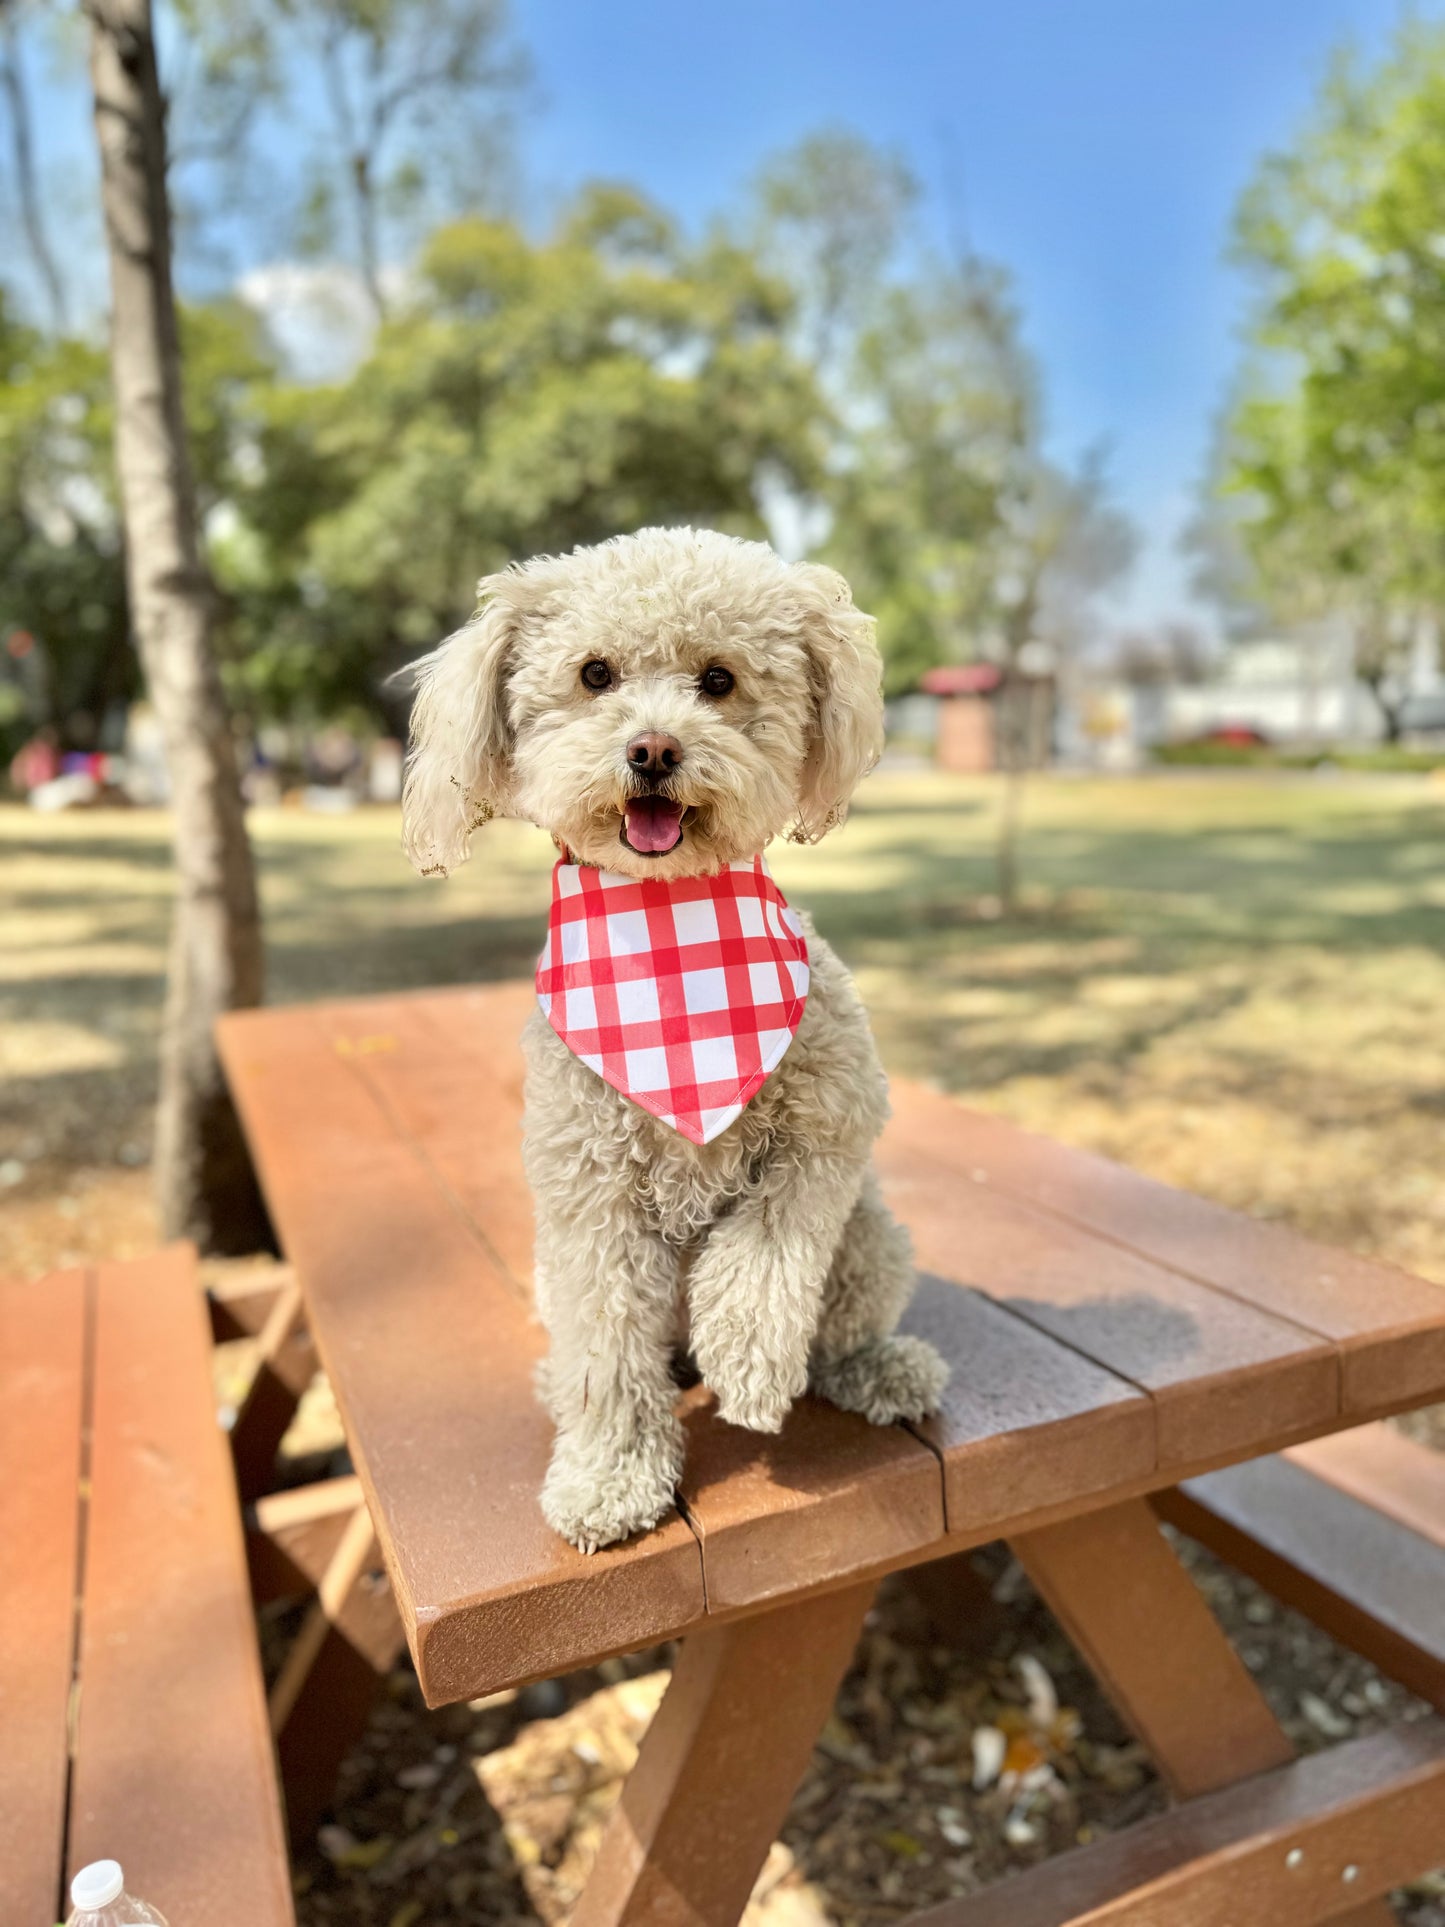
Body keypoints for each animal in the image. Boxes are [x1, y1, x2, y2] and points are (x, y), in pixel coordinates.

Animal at [404, 527, 951, 1549]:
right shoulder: (591, 1200)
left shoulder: (828, 1130)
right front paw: (610, 1479)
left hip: (869, 1234)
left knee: (843, 1329)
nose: (653, 748)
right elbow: (611, 1355)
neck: (677, 967)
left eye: (719, 680)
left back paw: (878, 1368)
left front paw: (747, 1363)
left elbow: (761, 1259)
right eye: (594, 674)